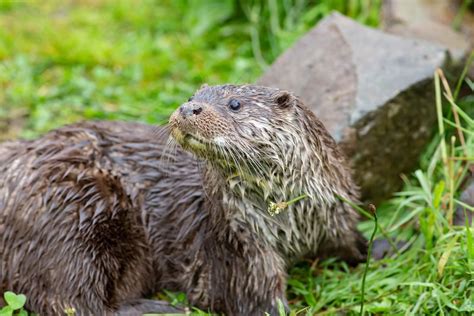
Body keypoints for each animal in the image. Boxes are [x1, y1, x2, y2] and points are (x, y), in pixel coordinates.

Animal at [0, 84, 368, 316]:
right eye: (192, 96)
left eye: (235, 104)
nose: (189, 107)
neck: (293, 219)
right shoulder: (240, 247)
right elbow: (258, 301)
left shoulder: (337, 211)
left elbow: (351, 242)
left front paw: (377, 249)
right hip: (75, 217)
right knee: (73, 301)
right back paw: (166, 309)